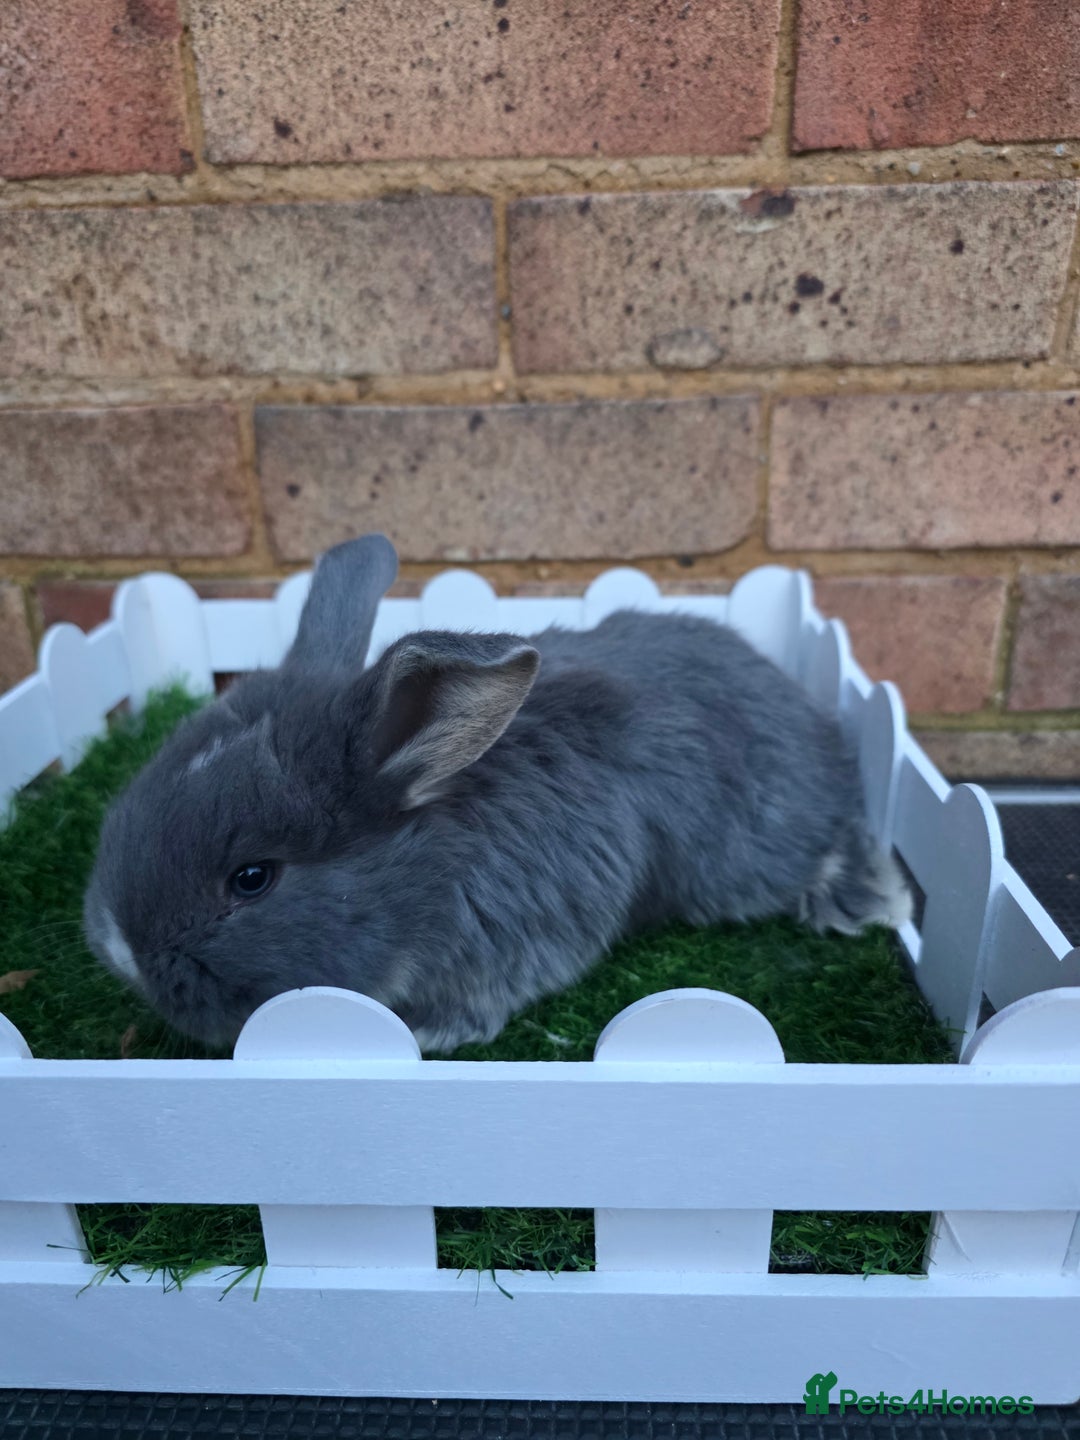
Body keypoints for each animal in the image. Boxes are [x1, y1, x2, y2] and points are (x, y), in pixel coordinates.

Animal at [83, 534, 911, 1052]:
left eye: (252, 878)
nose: (119, 953)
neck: (434, 848)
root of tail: (820, 726)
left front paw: (427, 1034)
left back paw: (862, 897)